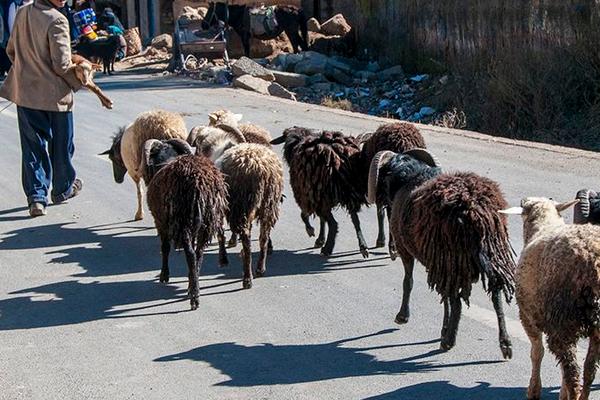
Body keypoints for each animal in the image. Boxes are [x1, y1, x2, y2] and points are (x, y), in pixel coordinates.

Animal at [142, 138, 229, 310]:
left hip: (184, 221)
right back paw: (193, 285)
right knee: (199, 253)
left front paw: (164, 275)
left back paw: (194, 296)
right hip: (206, 222)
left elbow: (165, 248)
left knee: (190, 253)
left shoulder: (161, 222)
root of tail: (199, 183)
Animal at [272, 126, 370, 260]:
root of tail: (339, 159)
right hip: (349, 192)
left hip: (325, 193)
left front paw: (311, 231)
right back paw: (363, 246)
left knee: (334, 224)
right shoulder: (317, 197)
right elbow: (322, 220)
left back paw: (328, 248)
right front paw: (320, 239)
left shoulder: (307, 194)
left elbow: (304, 215)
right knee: (355, 220)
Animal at [370, 148, 516, 358]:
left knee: (458, 302)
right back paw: (505, 343)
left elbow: (408, 282)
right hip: (489, 253)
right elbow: (444, 297)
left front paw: (403, 316)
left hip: (452, 258)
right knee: (496, 294)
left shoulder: (408, 251)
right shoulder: (437, 263)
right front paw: (443, 329)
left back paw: (449, 341)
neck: (408, 176)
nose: (379, 203)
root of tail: (475, 211)